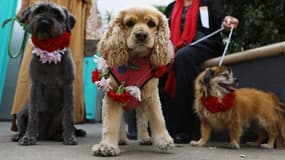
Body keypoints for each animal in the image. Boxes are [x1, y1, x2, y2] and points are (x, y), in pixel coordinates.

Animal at [11, 2, 82, 145]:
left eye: (57, 14)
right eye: (39, 10)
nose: (44, 22)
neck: (50, 48)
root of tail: (45, 135)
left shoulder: (68, 86)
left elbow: (68, 117)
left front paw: (69, 137)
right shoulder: (35, 86)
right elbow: (33, 115)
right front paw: (29, 137)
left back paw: (60, 135)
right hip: (22, 112)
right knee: (22, 125)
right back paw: (19, 135)